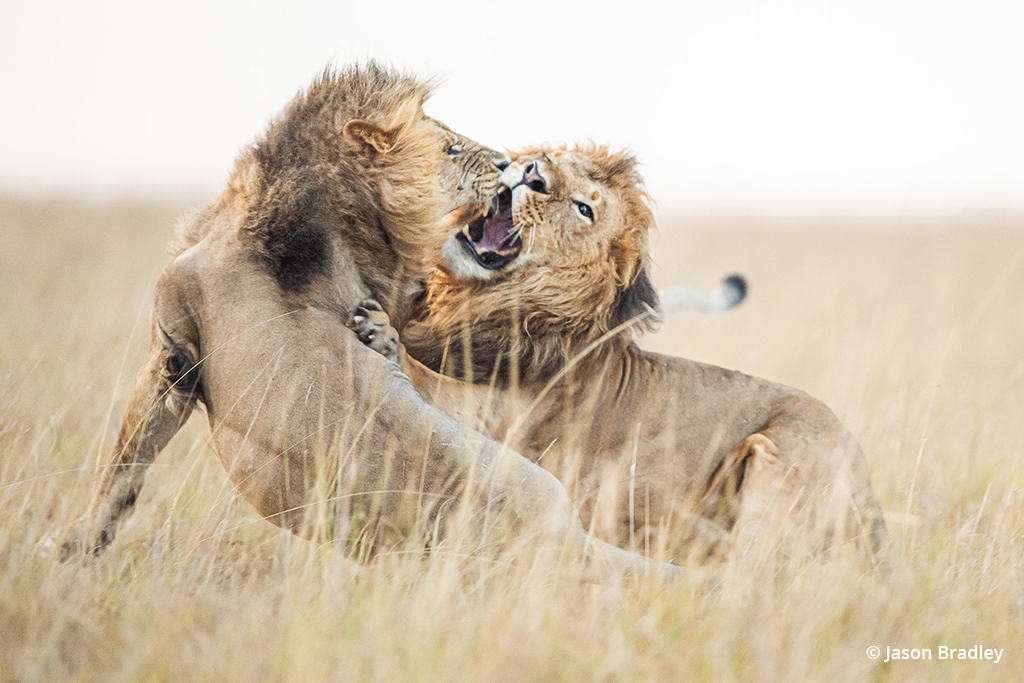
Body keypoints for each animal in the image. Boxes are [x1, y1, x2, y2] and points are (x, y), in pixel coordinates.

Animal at [59, 66, 675, 581]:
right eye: (450, 147)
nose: (514, 166)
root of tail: (567, 538)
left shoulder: (174, 350)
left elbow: (125, 463)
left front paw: (78, 545)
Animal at [368, 141, 888, 565]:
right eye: (548, 157)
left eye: (583, 208)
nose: (531, 172)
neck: (487, 302)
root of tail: (875, 507)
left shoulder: (504, 426)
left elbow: (428, 379)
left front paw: (383, 333)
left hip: (780, 458)